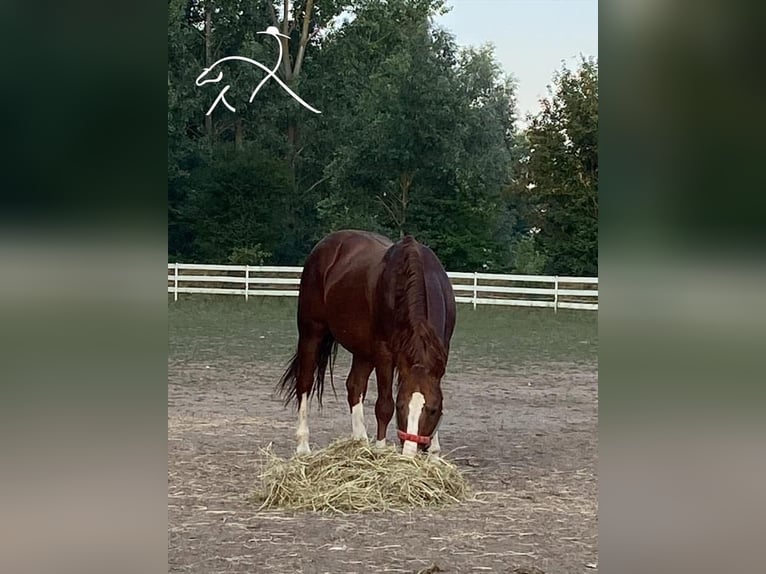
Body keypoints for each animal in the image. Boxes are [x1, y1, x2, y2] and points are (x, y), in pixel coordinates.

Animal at [277, 230, 456, 457]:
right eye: (401, 406)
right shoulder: (385, 352)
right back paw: (303, 446)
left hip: (363, 351)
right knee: (305, 383)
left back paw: (360, 441)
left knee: (354, 385)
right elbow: (384, 405)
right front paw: (380, 449)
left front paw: (434, 452)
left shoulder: (442, 349)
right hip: (312, 333)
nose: (409, 452)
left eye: (432, 410)